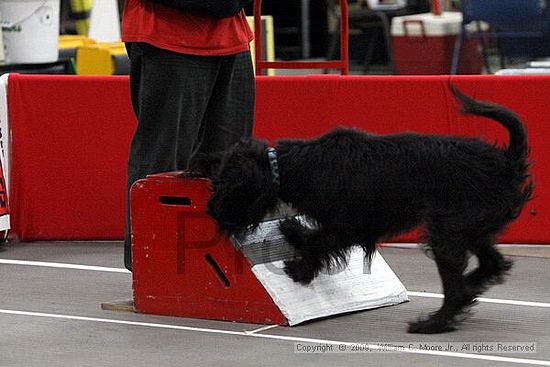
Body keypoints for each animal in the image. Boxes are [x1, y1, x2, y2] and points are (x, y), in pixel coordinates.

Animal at [193, 86, 536, 334]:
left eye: (224, 185)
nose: (211, 208)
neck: (293, 166)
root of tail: (506, 161)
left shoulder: (351, 227)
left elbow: (317, 241)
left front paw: (299, 266)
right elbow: (314, 237)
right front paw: (293, 231)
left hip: (448, 233)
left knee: (458, 282)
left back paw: (435, 322)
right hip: (470, 227)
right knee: (493, 263)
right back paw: (469, 288)